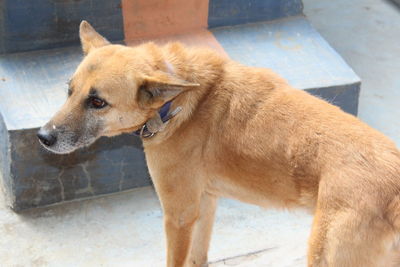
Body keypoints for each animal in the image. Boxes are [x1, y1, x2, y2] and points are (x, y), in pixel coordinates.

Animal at [38, 21, 400, 267]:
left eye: (98, 102)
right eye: (69, 91)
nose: (43, 136)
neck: (176, 101)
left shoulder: (179, 215)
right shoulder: (206, 203)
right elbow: (198, 256)